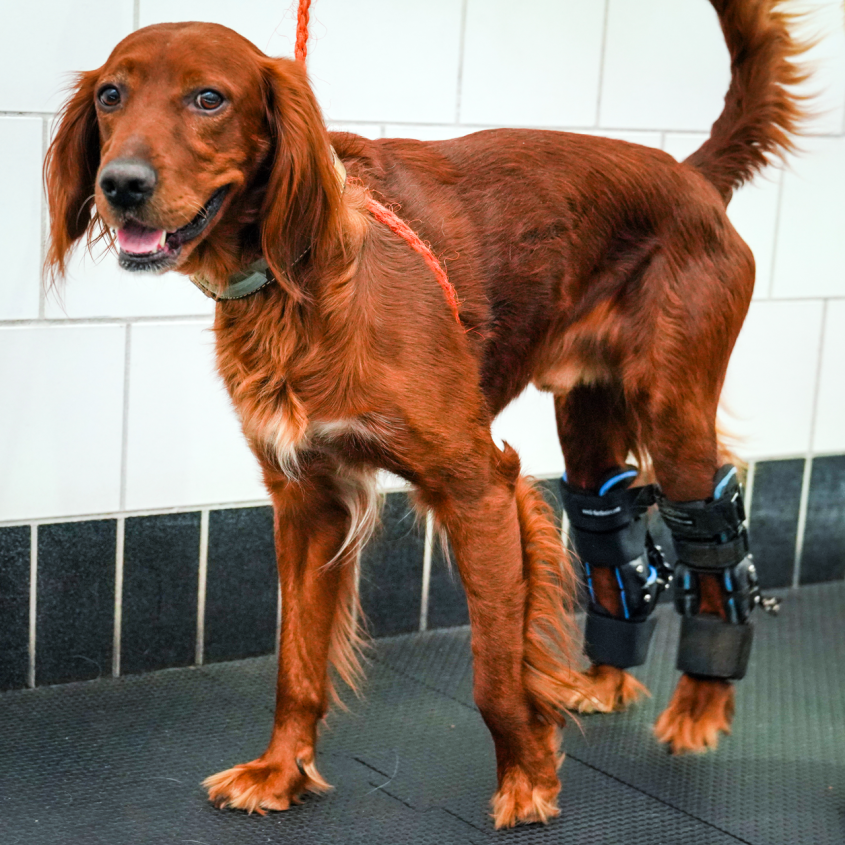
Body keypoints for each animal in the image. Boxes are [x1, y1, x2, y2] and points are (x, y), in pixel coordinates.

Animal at [44, 0, 804, 828]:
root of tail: (690, 175)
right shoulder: (305, 498)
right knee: (611, 528)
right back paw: (605, 680)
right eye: (111, 95)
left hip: (673, 415)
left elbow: (494, 673)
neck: (300, 278)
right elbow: (295, 664)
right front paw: (279, 772)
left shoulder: (477, 485)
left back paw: (698, 709)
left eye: (208, 98)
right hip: (588, 421)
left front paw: (528, 780)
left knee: (711, 545)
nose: (121, 184)